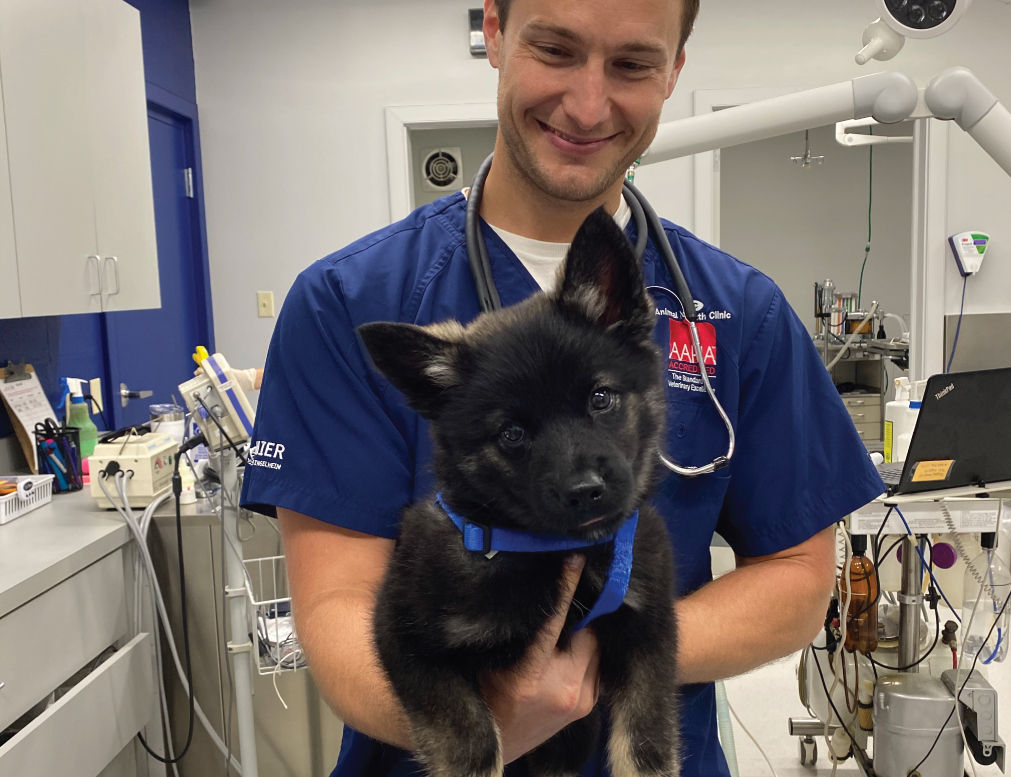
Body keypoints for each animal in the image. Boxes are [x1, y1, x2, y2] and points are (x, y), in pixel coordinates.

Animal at [355, 208, 679, 775]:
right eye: (511, 434)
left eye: (600, 398)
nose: (585, 492)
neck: (550, 550)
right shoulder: (405, 638)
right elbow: (470, 739)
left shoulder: (648, 637)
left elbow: (645, 745)